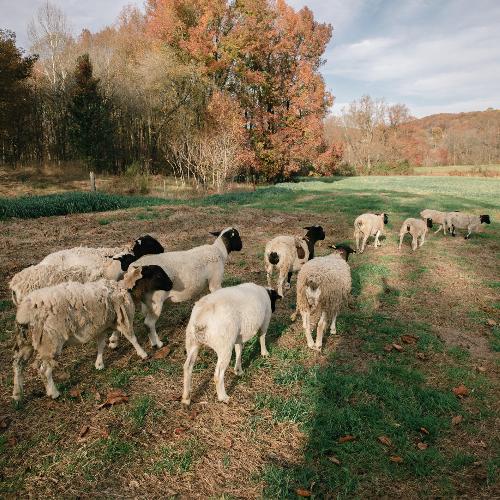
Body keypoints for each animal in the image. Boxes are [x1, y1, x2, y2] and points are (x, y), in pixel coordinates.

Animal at [12, 266, 173, 402]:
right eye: (159, 275)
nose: (171, 285)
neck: (124, 288)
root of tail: (25, 311)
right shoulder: (123, 315)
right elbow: (131, 337)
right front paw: (143, 353)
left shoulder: (102, 324)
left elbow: (101, 344)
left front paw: (99, 364)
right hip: (50, 340)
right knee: (44, 369)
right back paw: (53, 392)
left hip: (25, 341)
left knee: (18, 364)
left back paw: (17, 394)